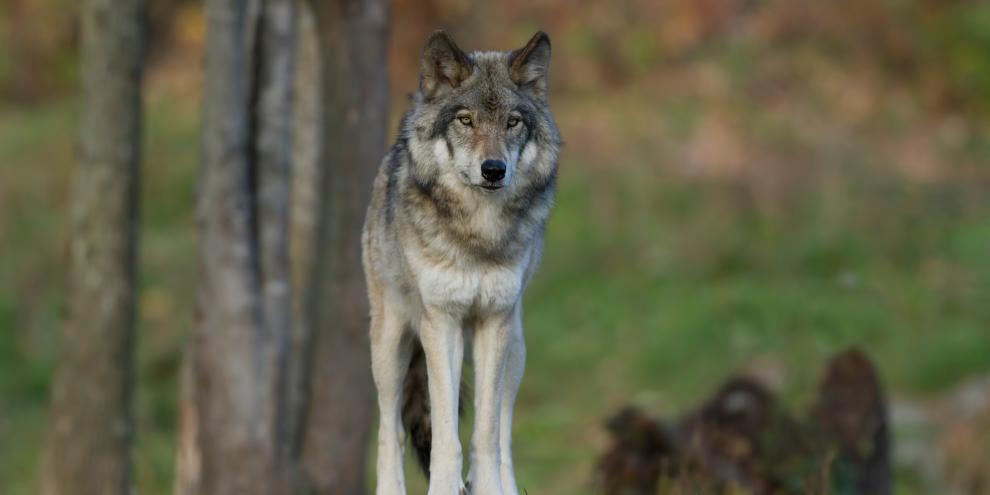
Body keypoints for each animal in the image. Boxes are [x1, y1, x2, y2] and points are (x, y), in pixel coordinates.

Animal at [361, 30, 561, 495]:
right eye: (465, 120)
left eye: (512, 122)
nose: (494, 169)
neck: (478, 235)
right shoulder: (441, 322)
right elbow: (445, 436)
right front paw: (444, 486)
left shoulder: (493, 322)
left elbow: (486, 433)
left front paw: (487, 487)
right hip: (390, 345)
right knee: (390, 431)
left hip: (516, 346)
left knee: (503, 432)